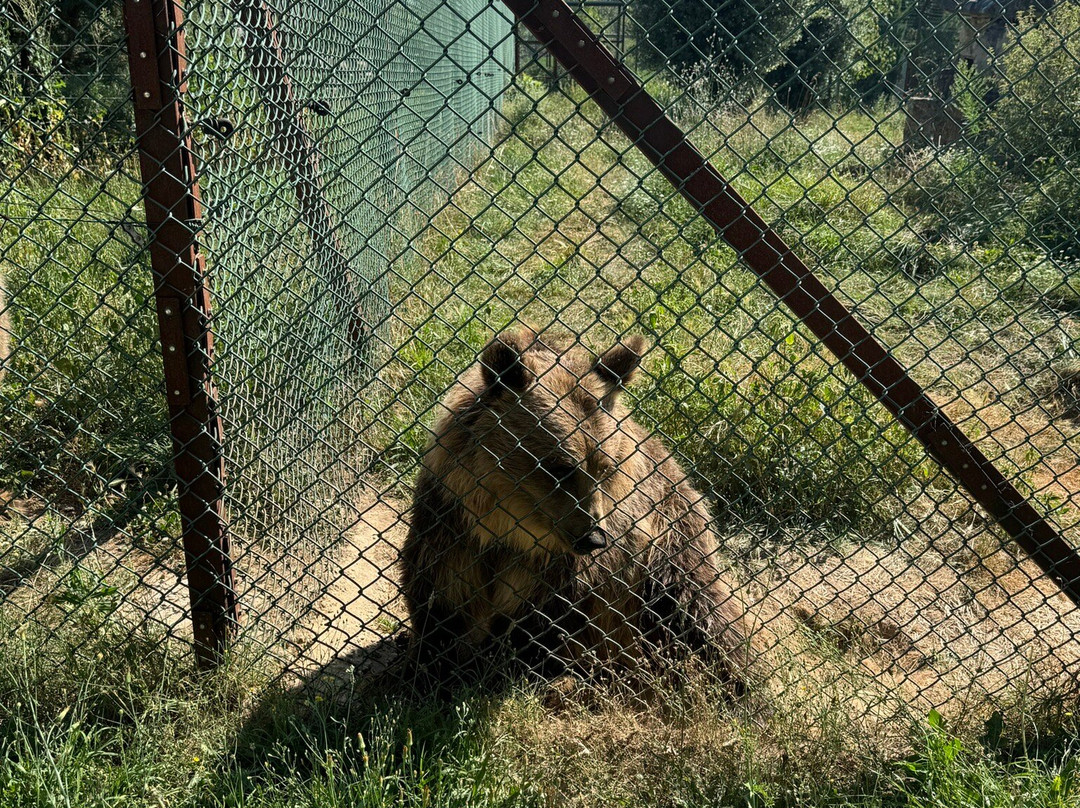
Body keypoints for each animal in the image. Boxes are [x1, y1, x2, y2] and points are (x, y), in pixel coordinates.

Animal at [399, 326, 751, 687]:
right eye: (560, 468)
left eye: (605, 467)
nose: (593, 538)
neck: (507, 530)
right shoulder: (451, 531)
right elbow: (441, 603)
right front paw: (429, 670)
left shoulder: (569, 569)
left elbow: (543, 626)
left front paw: (506, 665)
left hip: (672, 541)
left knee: (695, 607)